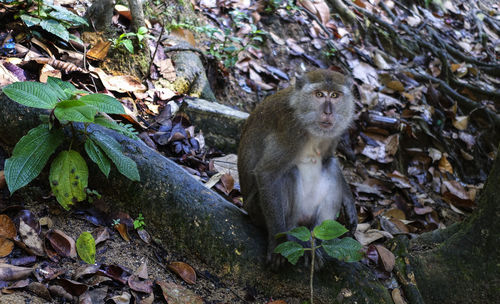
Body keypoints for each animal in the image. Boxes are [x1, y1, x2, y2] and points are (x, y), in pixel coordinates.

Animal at [237, 69, 358, 268]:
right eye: (319, 94)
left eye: (334, 95)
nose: (328, 112)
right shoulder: (290, 130)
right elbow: (268, 173)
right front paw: (278, 241)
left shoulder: (333, 132)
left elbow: (329, 158)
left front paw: (349, 201)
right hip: (256, 210)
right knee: (289, 173)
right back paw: (293, 236)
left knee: (331, 166)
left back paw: (316, 242)